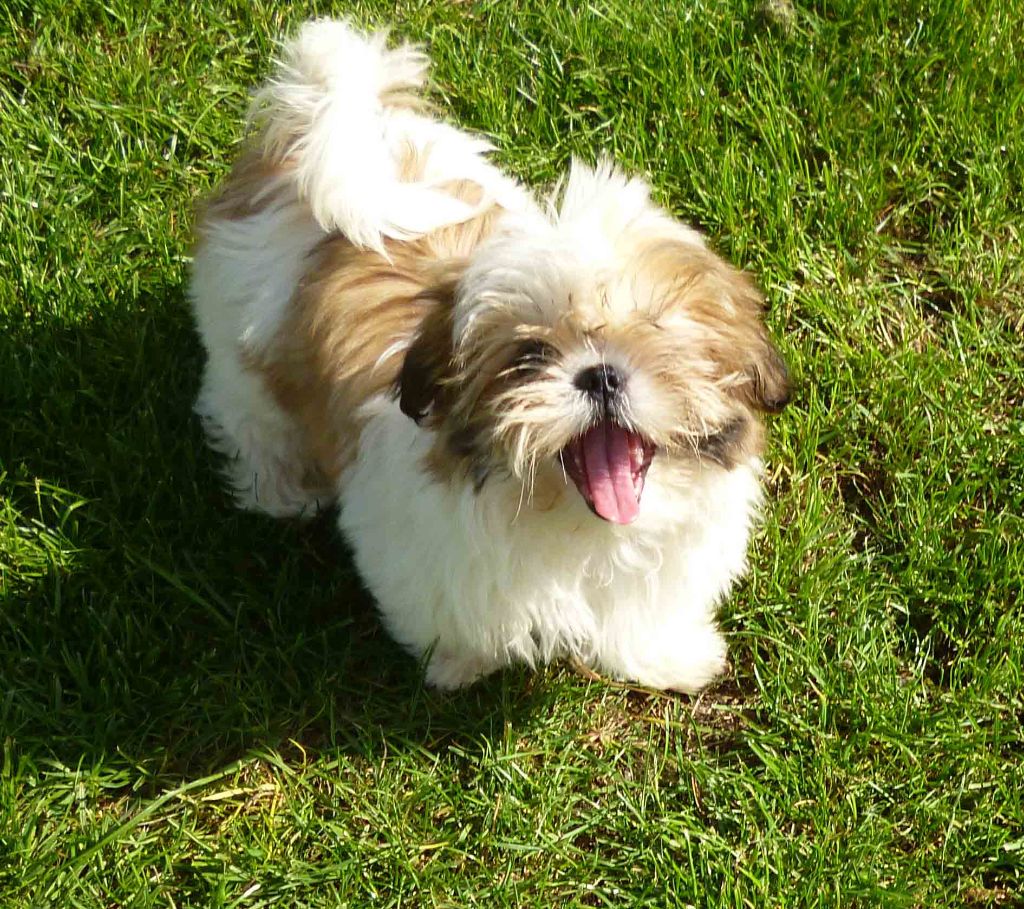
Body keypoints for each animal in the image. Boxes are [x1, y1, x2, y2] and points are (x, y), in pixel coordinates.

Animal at [190, 18, 790, 691]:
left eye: (655, 334)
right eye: (529, 354)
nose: (601, 375)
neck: (574, 521)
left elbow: (645, 614)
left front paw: (672, 657)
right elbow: (443, 612)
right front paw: (457, 664)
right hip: (238, 347)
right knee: (251, 416)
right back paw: (282, 490)